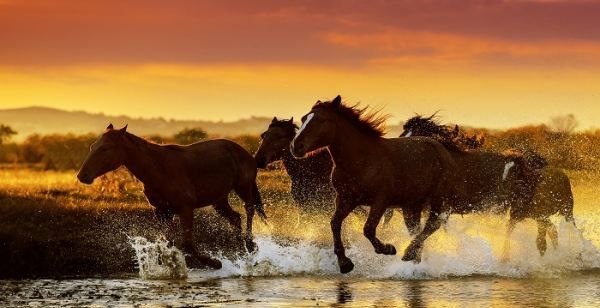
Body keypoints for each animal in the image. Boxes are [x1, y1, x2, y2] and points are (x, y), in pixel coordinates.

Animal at [78, 124, 268, 268]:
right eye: (92, 146)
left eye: (105, 148)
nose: (82, 176)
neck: (158, 169)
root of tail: (245, 153)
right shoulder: (162, 212)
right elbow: (167, 244)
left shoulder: (185, 209)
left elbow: (187, 245)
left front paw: (215, 263)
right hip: (219, 200)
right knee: (236, 218)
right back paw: (243, 250)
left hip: (243, 187)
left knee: (249, 209)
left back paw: (250, 245)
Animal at [290, 95, 464, 274]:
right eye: (303, 118)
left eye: (321, 120)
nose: (295, 146)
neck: (361, 161)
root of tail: (441, 148)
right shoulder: (345, 199)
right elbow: (335, 223)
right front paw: (345, 263)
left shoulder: (380, 201)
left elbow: (368, 229)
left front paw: (388, 249)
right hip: (412, 205)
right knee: (416, 229)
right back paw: (414, 259)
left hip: (437, 198)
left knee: (432, 225)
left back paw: (408, 253)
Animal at [400, 115, 576, 260]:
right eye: (403, 135)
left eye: (416, 136)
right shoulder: (419, 208)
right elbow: (417, 231)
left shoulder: (442, 208)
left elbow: (426, 230)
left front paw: (409, 255)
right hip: (527, 211)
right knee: (549, 230)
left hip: (532, 210)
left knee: (550, 231)